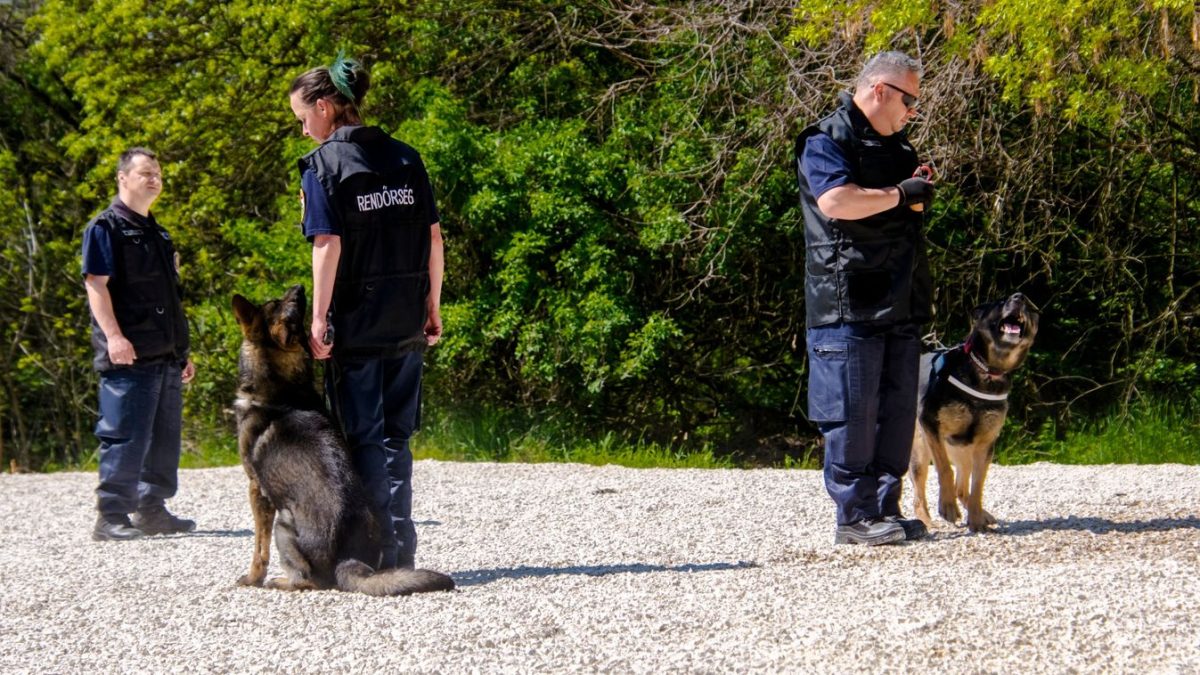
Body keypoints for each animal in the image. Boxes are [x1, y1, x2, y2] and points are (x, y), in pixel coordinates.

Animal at [231, 284, 456, 593]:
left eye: (277, 302)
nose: (300, 287)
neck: (281, 387)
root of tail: (347, 559)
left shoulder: (256, 490)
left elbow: (258, 549)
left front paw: (252, 579)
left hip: (283, 524)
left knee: (308, 580)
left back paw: (281, 581)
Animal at [912, 293, 1036, 530]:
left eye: (1031, 307)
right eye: (1000, 303)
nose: (1020, 297)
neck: (986, 370)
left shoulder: (985, 444)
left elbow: (977, 486)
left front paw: (977, 520)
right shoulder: (931, 424)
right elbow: (945, 469)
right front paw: (948, 506)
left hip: (963, 451)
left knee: (962, 487)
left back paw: (980, 514)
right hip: (921, 450)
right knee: (919, 492)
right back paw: (926, 521)